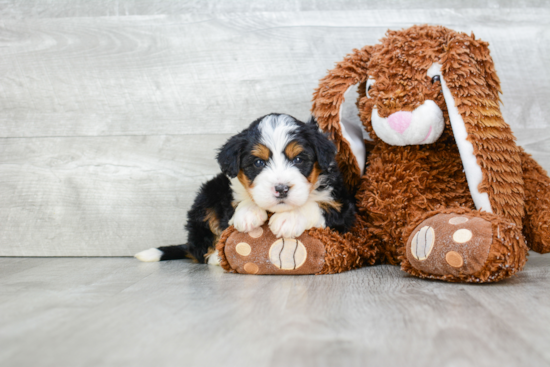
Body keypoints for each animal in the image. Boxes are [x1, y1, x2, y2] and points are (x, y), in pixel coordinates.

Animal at [136, 113, 356, 264]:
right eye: (258, 163)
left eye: (299, 159)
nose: (281, 189)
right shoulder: (228, 193)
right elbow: (238, 202)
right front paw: (248, 214)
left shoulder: (344, 209)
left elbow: (317, 205)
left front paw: (288, 218)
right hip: (207, 195)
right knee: (200, 243)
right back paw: (215, 257)